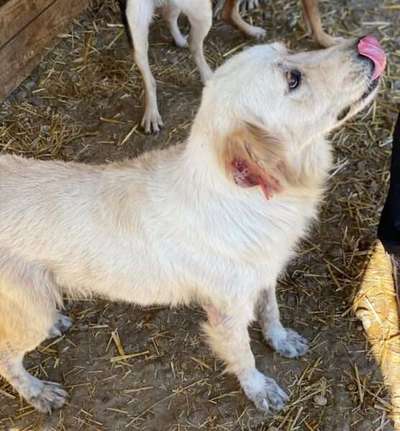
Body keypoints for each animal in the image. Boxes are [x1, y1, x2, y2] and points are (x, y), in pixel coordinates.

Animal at [0, 37, 388, 416]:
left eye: (290, 51)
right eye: (293, 79)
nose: (366, 42)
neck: (240, 199)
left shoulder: (263, 276)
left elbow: (271, 312)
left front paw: (281, 339)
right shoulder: (227, 313)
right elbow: (244, 356)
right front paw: (260, 390)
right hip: (31, 313)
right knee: (7, 359)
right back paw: (38, 392)